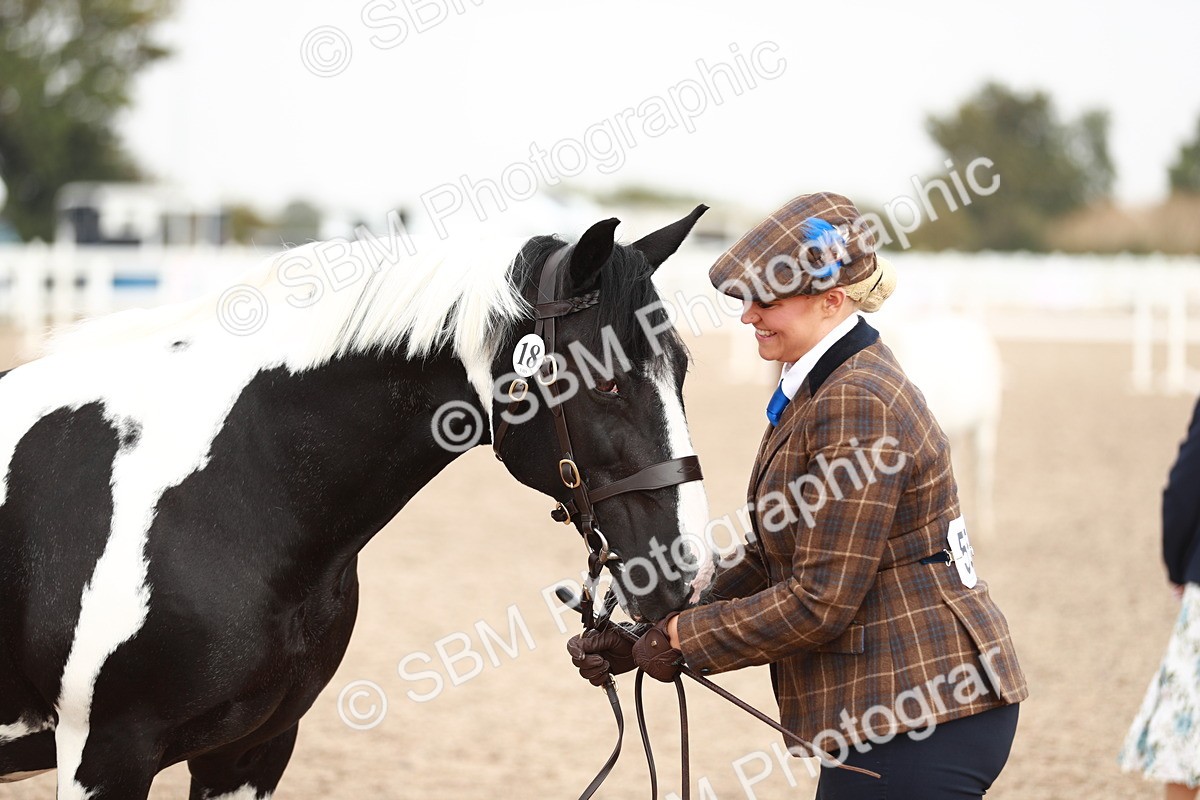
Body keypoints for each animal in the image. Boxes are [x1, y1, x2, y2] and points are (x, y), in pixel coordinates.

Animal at [0, 207, 715, 799]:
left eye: (681, 370)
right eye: (607, 381)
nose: (686, 569)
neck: (231, 495)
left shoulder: (249, 752)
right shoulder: (107, 754)